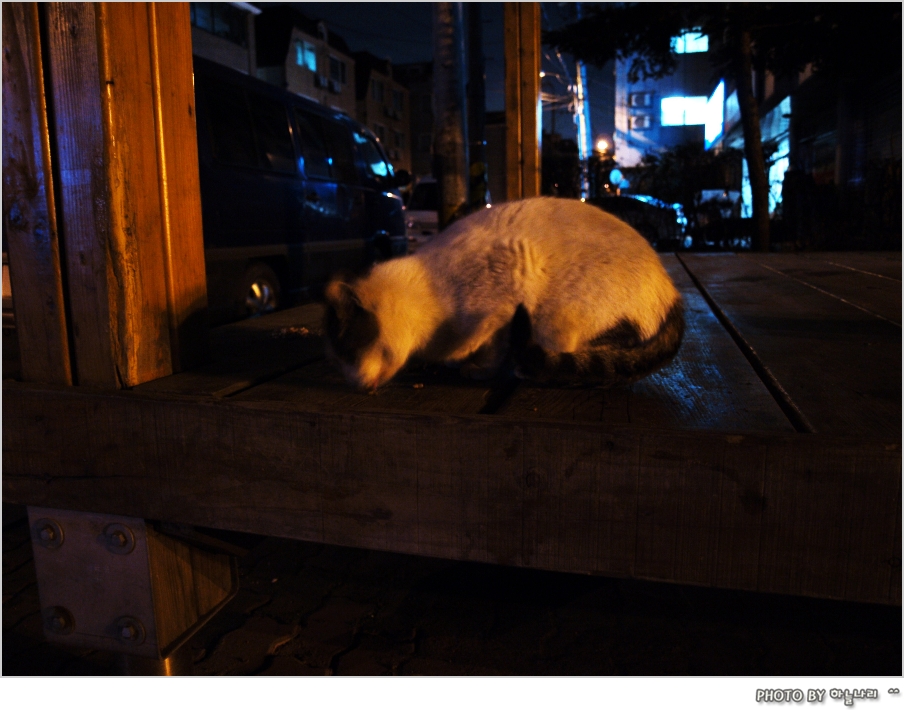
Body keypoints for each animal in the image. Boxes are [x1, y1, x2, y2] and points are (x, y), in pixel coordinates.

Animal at [324, 197, 684, 392]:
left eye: (349, 353)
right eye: (338, 360)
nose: (353, 385)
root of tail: (675, 293)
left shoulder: (511, 283)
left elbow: (491, 346)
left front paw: (475, 367)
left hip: (557, 318)